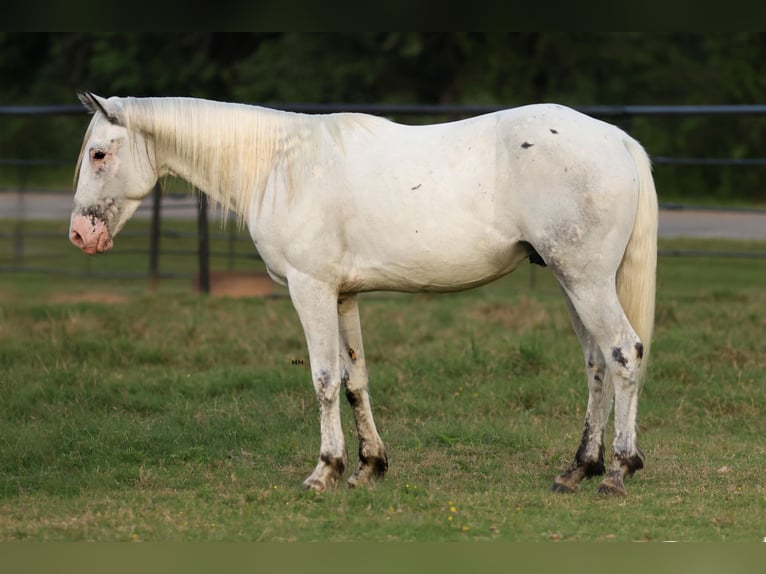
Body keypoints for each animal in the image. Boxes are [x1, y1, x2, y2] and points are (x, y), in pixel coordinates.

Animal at [72, 92, 660, 498]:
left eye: (99, 154)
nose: (80, 235)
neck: (279, 166)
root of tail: (616, 139)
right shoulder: (342, 296)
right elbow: (355, 379)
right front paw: (368, 466)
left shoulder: (310, 288)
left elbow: (324, 379)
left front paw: (324, 471)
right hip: (572, 282)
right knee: (596, 363)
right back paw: (576, 469)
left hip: (584, 280)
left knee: (624, 354)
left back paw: (617, 472)